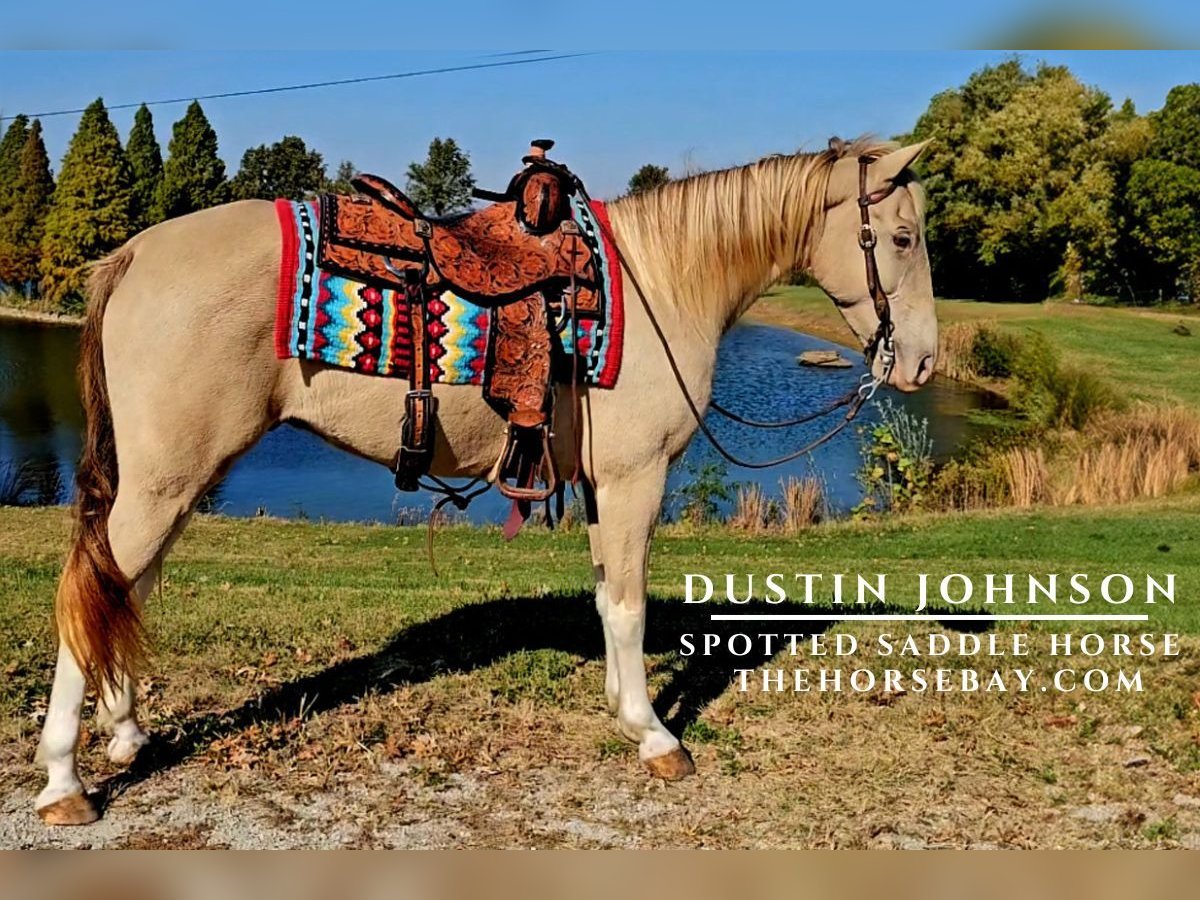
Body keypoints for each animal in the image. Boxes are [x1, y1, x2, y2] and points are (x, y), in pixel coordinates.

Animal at [34, 137, 937, 825]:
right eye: (900, 238)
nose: (923, 362)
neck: (664, 282)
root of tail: (136, 252)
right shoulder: (636, 477)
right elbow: (629, 603)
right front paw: (653, 734)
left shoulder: (603, 486)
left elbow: (608, 593)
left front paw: (622, 707)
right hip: (163, 481)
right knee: (88, 589)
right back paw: (64, 782)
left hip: (177, 481)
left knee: (122, 589)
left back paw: (126, 733)